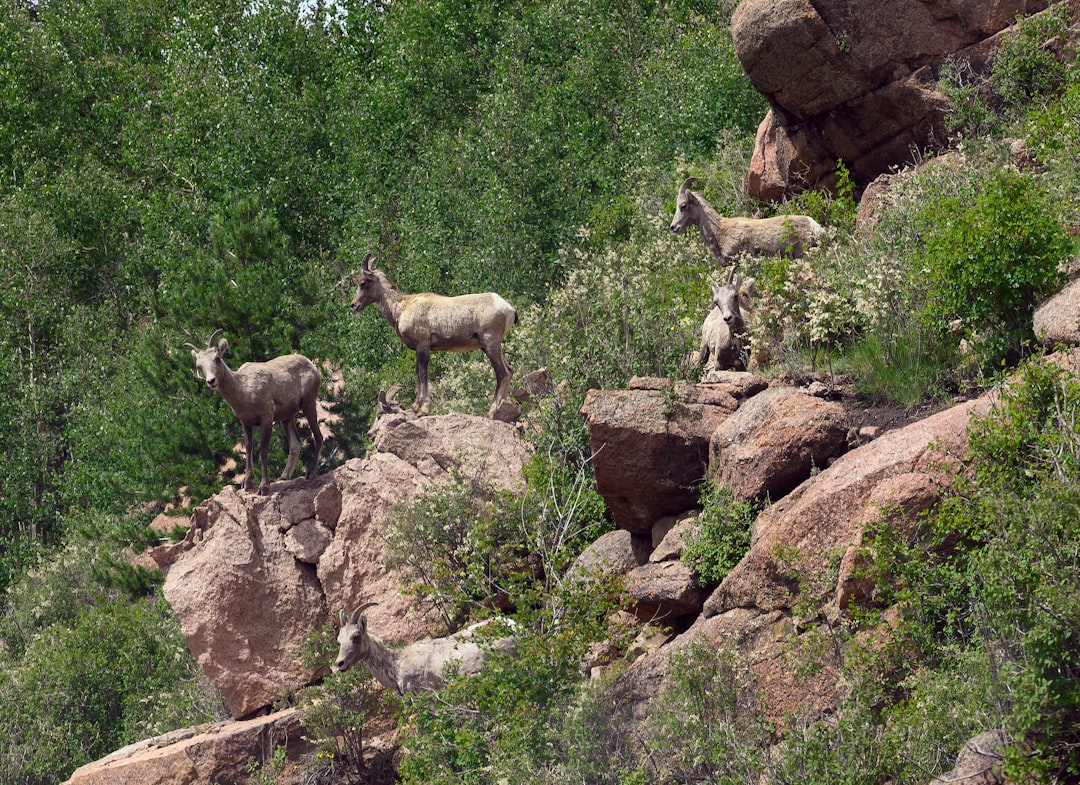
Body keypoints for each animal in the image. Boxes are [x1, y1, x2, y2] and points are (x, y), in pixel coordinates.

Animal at [187, 328, 321, 494]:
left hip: (309, 403)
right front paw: (247, 483)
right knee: (296, 444)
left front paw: (264, 487)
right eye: (199, 366)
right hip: (287, 417)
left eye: (217, 358)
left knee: (318, 436)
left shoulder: (267, 419)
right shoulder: (246, 423)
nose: (211, 381)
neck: (244, 391)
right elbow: (249, 449)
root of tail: (312, 366)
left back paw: (310, 473)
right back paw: (284, 477)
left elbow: (263, 451)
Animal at [345, 254, 514, 421]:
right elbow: (418, 373)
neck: (402, 308)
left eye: (363, 283)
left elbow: (422, 374)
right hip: (490, 346)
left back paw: (491, 413)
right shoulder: (418, 349)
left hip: (490, 343)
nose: (354, 305)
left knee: (502, 373)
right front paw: (415, 408)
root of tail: (509, 309)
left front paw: (422, 409)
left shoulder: (423, 345)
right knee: (509, 370)